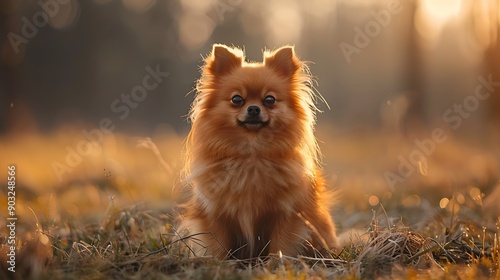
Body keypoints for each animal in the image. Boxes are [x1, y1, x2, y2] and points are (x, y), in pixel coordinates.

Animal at [178, 43, 338, 260]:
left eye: (269, 99)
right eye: (237, 99)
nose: (253, 108)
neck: (251, 153)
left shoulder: (287, 213)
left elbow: (280, 244)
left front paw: (276, 263)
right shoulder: (215, 213)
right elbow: (219, 244)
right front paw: (219, 263)